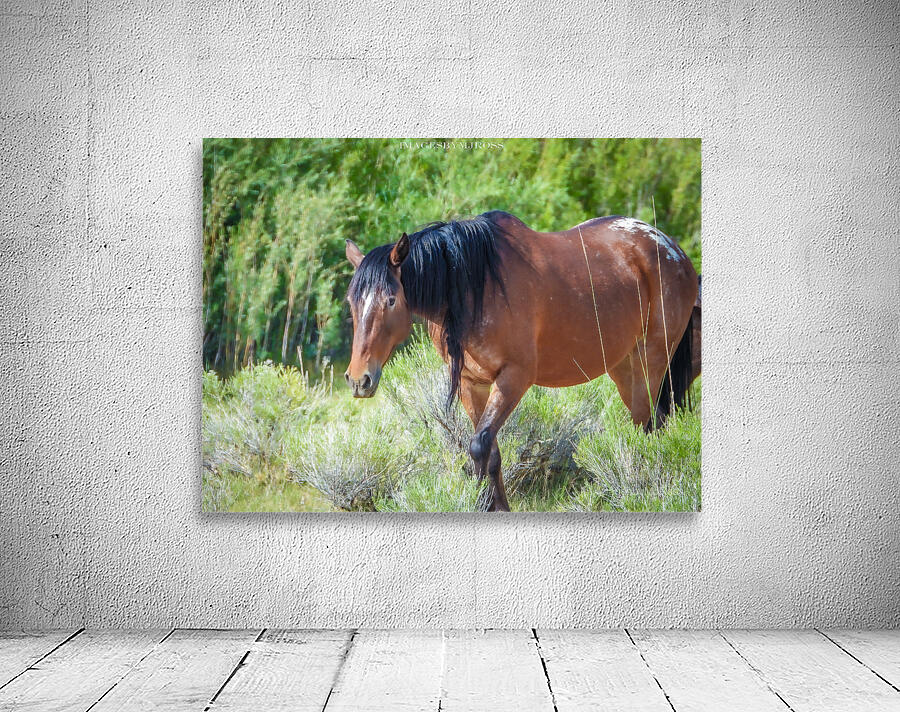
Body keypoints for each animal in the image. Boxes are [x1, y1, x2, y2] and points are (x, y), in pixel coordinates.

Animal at [344, 210, 700, 512]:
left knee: (652, 425)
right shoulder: (472, 383)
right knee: (647, 424)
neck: (474, 288)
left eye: (391, 300)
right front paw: (497, 507)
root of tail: (673, 250)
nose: (359, 379)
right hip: (624, 368)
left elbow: (479, 445)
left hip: (651, 360)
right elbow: (490, 451)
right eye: (351, 301)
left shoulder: (513, 378)